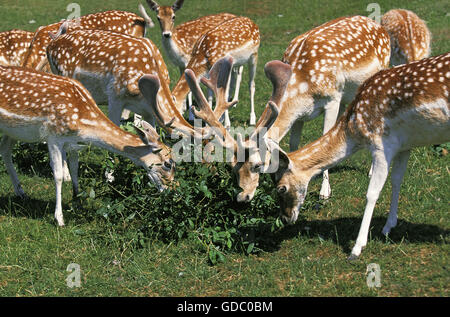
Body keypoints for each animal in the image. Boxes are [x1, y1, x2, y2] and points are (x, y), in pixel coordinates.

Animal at [0, 65, 175, 226]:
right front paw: (59, 219)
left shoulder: (71, 141)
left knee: (5, 149)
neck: (83, 121)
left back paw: (21, 192)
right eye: (168, 163)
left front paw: (77, 201)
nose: (173, 191)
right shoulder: (53, 136)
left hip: (12, 130)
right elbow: (58, 176)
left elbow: (74, 167)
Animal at [230, 14, 392, 201]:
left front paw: (325, 192)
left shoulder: (332, 99)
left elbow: (324, 135)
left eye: (257, 165)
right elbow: (294, 143)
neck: (303, 86)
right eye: (233, 167)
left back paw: (371, 171)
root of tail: (379, 26)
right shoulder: (300, 114)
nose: (242, 197)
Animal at [270, 51, 450, 258]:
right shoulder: (405, 145)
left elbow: (372, 193)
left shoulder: (382, 145)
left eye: (281, 188)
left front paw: (356, 249)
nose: (285, 218)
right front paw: (388, 227)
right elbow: (397, 180)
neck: (355, 127)